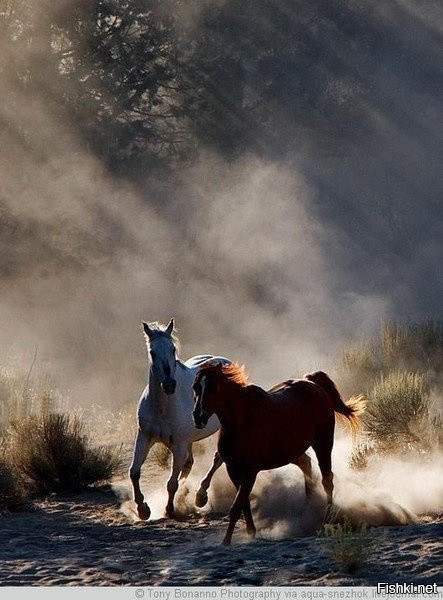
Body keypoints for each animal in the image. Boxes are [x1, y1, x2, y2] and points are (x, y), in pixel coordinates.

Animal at [129, 318, 231, 520]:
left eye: (173, 349)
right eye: (152, 352)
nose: (169, 385)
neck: (163, 407)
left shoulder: (178, 445)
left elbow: (172, 483)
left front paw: (169, 510)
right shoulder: (144, 437)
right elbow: (134, 472)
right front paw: (143, 509)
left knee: (217, 458)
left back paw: (201, 496)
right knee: (189, 464)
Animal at [193, 364, 366, 548]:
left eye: (213, 386)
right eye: (195, 387)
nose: (197, 417)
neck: (241, 421)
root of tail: (312, 383)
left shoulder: (250, 471)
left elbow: (237, 505)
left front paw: (226, 540)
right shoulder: (232, 468)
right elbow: (243, 502)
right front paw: (250, 531)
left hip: (323, 443)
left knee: (327, 480)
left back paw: (327, 519)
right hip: (292, 451)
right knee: (306, 465)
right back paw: (308, 509)